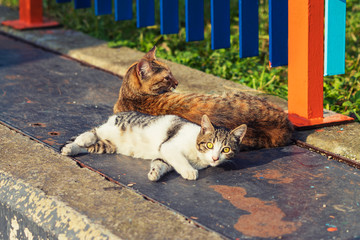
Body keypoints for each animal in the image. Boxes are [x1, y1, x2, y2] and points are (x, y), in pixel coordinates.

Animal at [62, 111, 248, 181]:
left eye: (226, 149)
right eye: (209, 145)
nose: (215, 158)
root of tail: (117, 114)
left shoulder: (164, 155)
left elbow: (162, 163)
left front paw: (155, 172)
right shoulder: (169, 146)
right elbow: (180, 159)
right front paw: (189, 171)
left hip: (108, 145)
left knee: (93, 144)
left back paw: (71, 148)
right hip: (113, 127)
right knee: (95, 130)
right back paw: (83, 138)